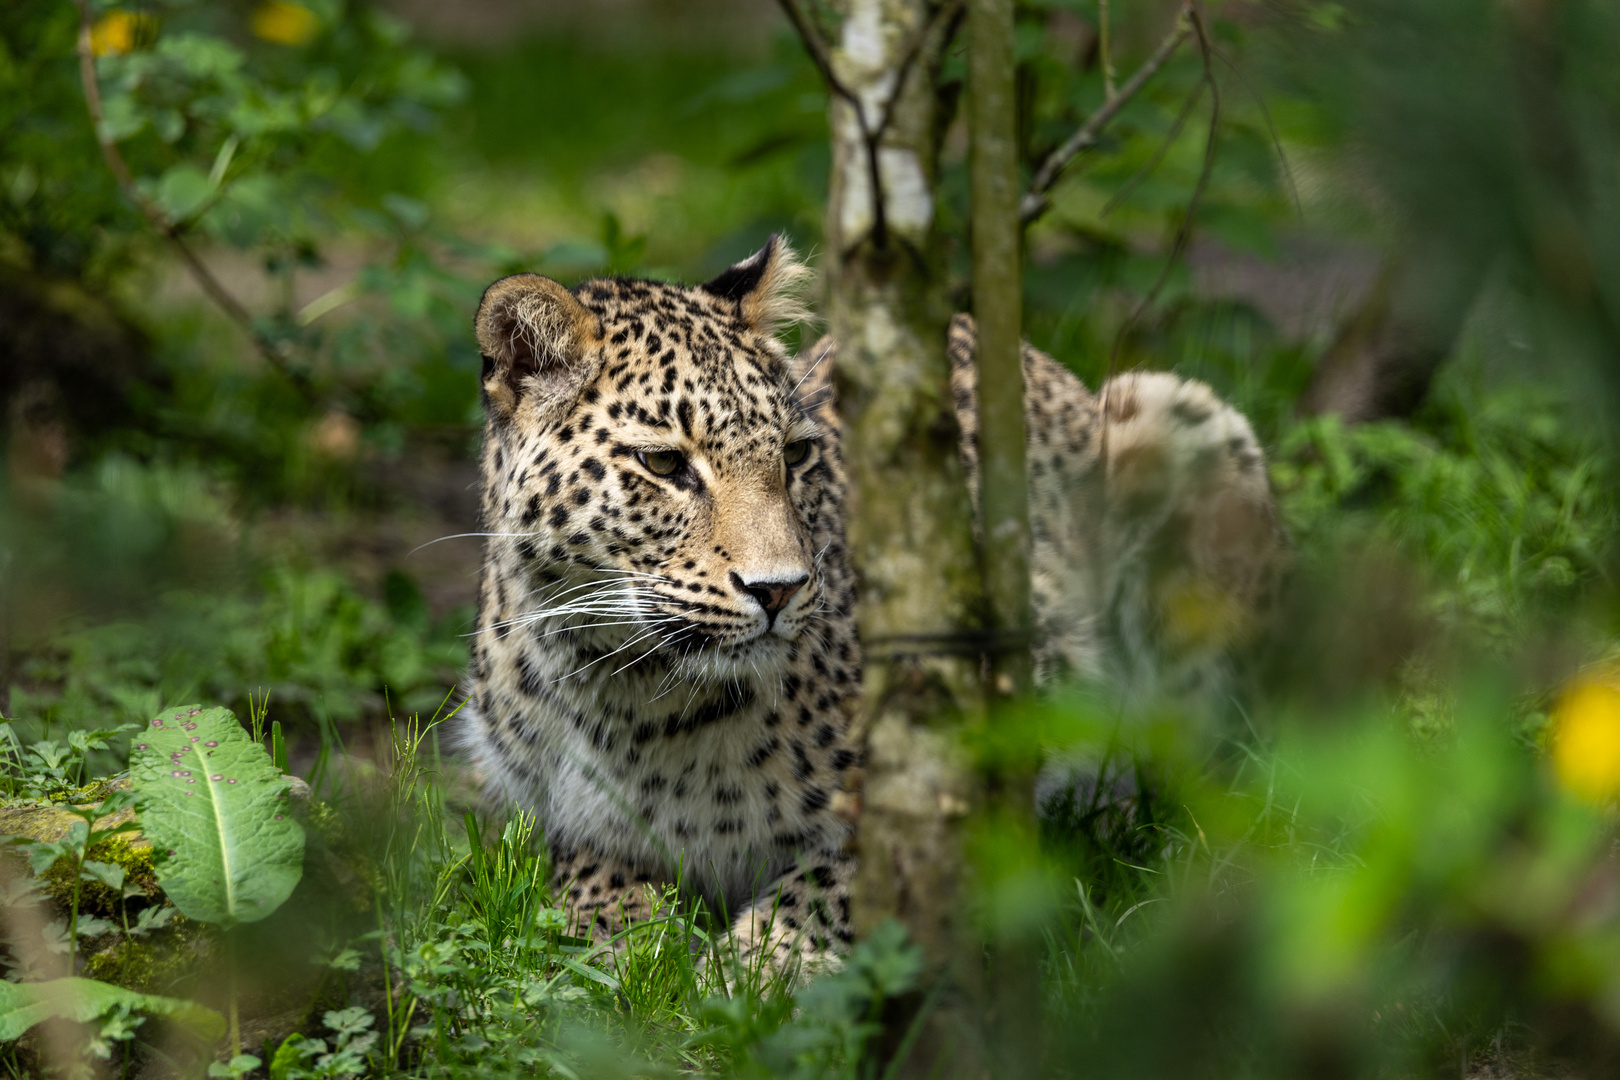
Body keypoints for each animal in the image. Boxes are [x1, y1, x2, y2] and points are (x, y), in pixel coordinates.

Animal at [463, 234, 1283, 965]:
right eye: (663, 464)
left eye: (796, 454)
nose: (779, 589)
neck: (629, 694)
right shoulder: (564, 823)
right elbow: (591, 898)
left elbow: (831, 892)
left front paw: (752, 975)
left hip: (1173, 419)